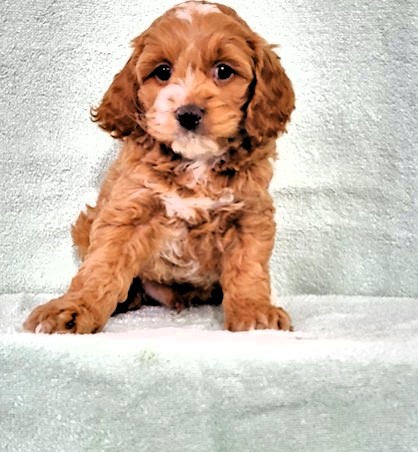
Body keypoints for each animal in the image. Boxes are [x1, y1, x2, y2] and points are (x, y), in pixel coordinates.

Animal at [24, 0, 296, 332]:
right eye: (162, 71)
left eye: (223, 70)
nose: (188, 113)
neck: (195, 164)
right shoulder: (129, 210)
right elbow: (101, 266)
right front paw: (73, 309)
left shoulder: (249, 214)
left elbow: (248, 268)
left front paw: (255, 312)